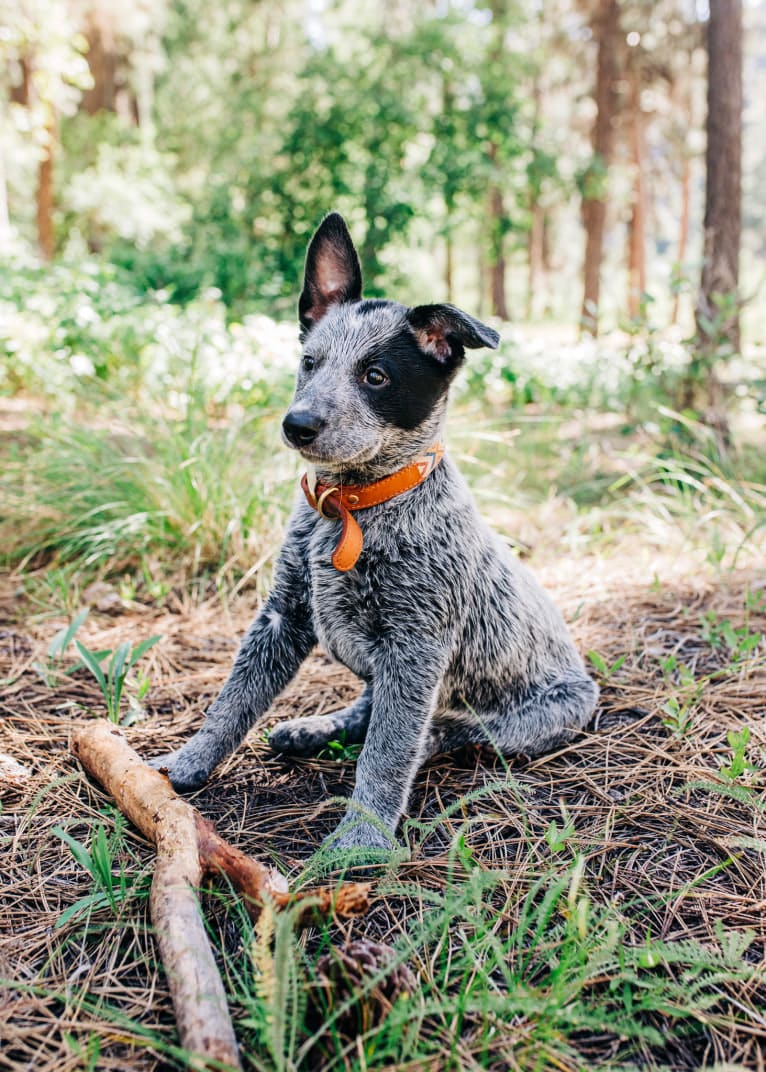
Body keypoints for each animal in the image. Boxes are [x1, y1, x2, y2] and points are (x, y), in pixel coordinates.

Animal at [151, 213, 599, 853]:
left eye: (376, 375)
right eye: (309, 362)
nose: (298, 424)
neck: (350, 508)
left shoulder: (416, 648)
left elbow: (388, 754)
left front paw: (361, 838)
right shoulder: (283, 615)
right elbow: (231, 701)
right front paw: (187, 762)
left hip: (541, 712)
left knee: (449, 730)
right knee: (367, 708)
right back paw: (317, 729)